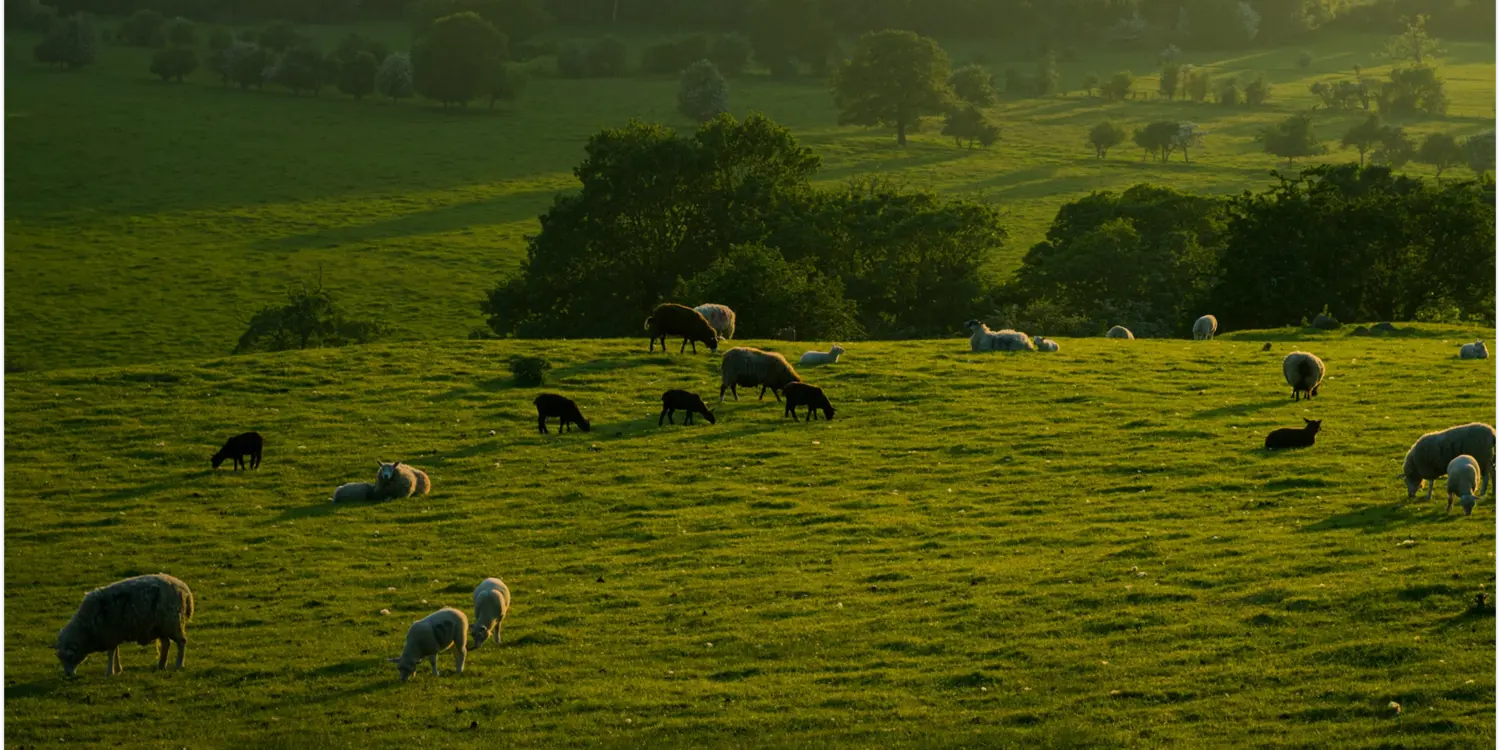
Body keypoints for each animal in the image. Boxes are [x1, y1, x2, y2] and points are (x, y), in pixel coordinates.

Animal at [54, 573, 194, 677]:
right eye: (60, 658)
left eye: (71, 656)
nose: (68, 675)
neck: (86, 629)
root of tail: (184, 588)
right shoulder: (114, 635)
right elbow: (116, 651)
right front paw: (118, 669)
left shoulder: (109, 635)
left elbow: (111, 654)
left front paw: (110, 672)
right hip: (160, 626)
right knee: (166, 644)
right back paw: (161, 665)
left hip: (172, 623)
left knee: (181, 642)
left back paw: (179, 664)